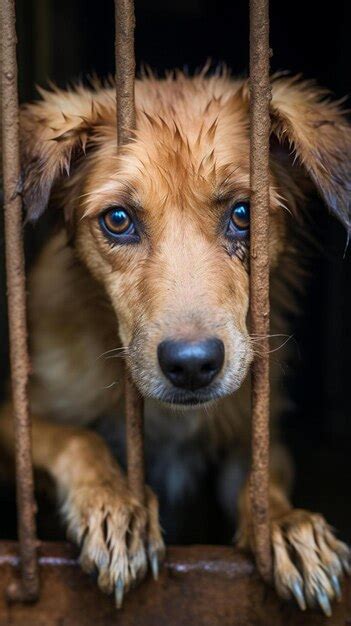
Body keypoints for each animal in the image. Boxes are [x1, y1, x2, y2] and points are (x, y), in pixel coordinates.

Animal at [0, 70, 351, 612]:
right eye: (117, 220)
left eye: (244, 214)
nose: (191, 365)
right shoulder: (14, 417)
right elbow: (75, 438)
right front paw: (117, 503)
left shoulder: (253, 431)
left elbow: (261, 481)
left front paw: (286, 526)